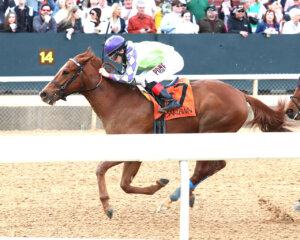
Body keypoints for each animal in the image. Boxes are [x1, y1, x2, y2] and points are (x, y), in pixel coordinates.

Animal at [38, 47, 290, 218]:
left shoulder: (132, 147)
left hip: (212, 131)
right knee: (212, 166)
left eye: (66, 71)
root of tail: (240, 93)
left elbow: (102, 170)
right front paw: (158, 183)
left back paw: (172, 198)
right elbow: (125, 184)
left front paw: (108, 206)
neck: (119, 102)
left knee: (206, 168)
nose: (43, 93)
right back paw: (185, 195)